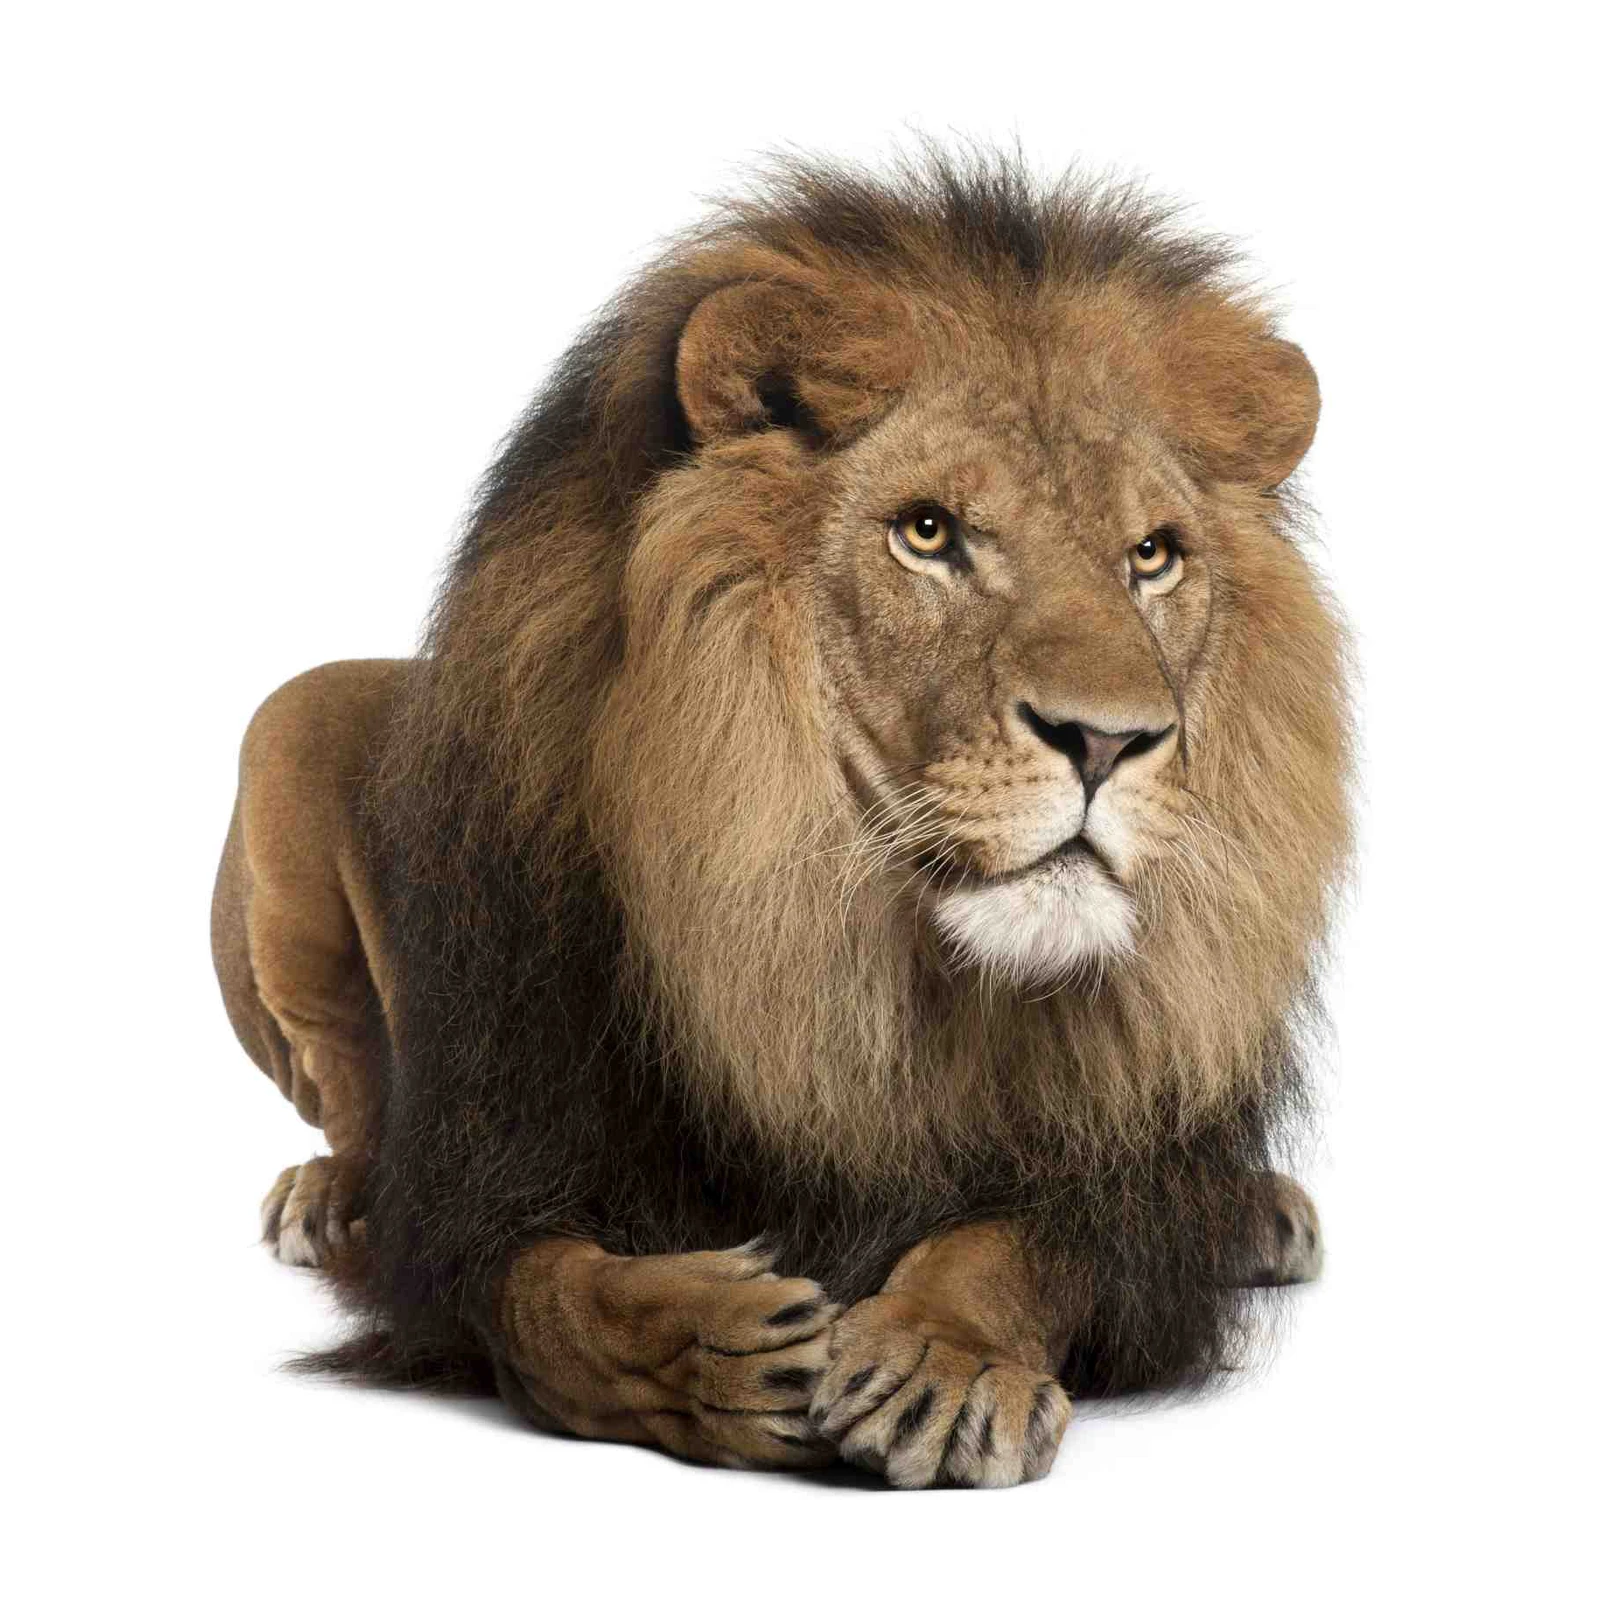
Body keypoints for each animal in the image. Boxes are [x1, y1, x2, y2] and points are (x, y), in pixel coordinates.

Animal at [212, 149, 1351, 1489]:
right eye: (927, 531)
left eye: (1153, 554)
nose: (1109, 740)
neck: (856, 955)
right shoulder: (480, 1176)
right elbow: (542, 1299)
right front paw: (705, 1350)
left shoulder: (1124, 1187)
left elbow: (1023, 1245)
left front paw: (941, 1360)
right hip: (290, 724)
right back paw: (330, 1194)